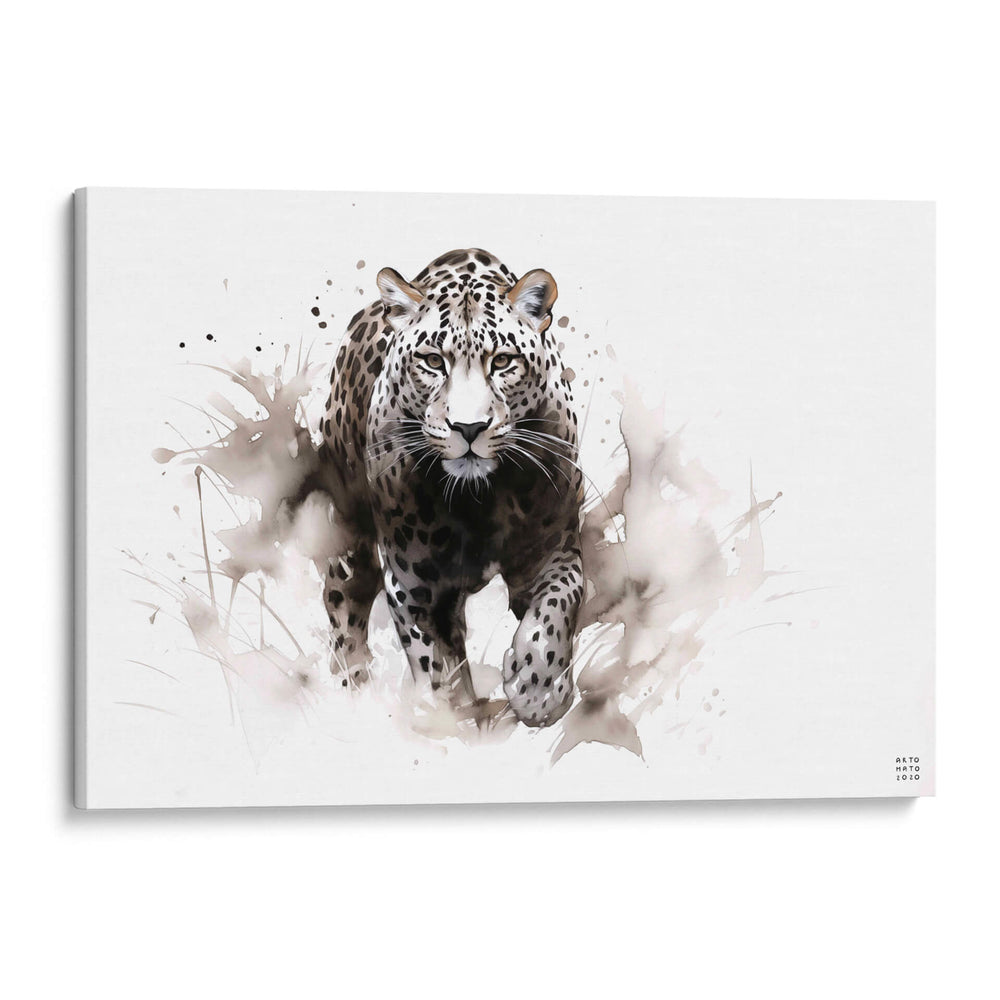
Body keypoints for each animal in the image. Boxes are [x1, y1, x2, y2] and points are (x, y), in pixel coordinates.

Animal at [314, 248, 583, 727]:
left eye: (503, 362)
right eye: (433, 361)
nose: (469, 427)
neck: (480, 500)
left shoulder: (553, 549)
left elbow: (559, 602)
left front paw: (539, 688)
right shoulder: (415, 588)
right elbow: (438, 670)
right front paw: (449, 722)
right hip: (348, 536)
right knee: (343, 607)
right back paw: (354, 691)